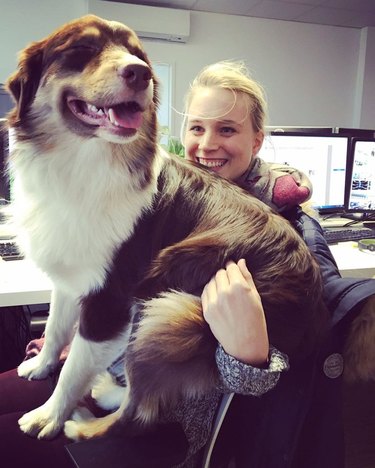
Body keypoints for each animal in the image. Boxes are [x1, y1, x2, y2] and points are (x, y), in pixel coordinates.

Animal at [5, 15, 328, 442]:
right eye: (83, 49)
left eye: (137, 54)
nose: (140, 73)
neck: (83, 162)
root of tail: (313, 316)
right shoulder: (72, 277)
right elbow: (58, 327)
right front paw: (41, 364)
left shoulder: (111, 298)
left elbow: (75, 366)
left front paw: (49, 415)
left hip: (169, 309)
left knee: (141, 411)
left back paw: (85, 423)